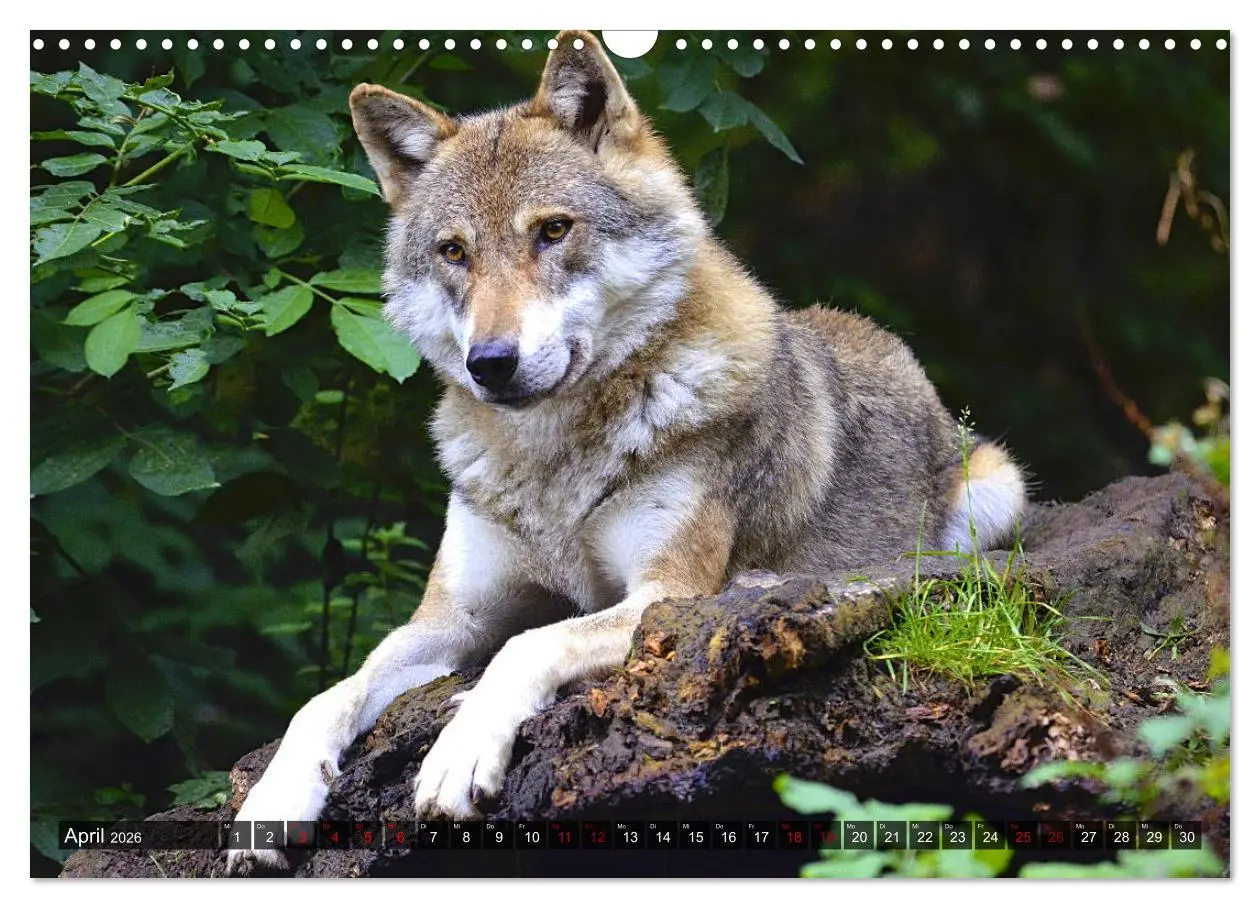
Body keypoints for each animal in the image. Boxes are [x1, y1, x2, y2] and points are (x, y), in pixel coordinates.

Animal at [226, 29, 1026, 873]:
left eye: (552, 230)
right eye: (453, 252)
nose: (491, 362)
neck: (552, 464)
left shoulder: (663, 596)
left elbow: (528, 645)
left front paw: (459, 752)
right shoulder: (449, 618)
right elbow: (329, 695)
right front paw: (273, 800)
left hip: (994, 492)